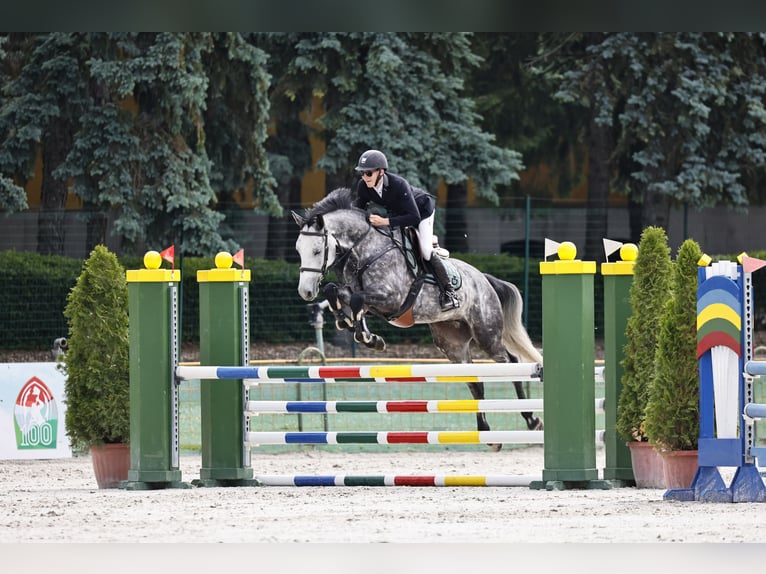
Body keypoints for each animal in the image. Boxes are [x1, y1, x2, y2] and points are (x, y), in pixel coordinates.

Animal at [292, 187, 544, 448]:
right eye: (298, 250)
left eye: (317, 251)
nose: (306, 292)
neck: (366, 251)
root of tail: (484, 279)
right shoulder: (364, 297)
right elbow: (336, 291)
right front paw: (354, 326)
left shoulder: (391, 298)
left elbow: (357, 300)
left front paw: (366, 335)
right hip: (451, 343)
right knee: (475, 381)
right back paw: (487, 433)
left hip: (487, 333)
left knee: (511, 362)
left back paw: (531, 420)